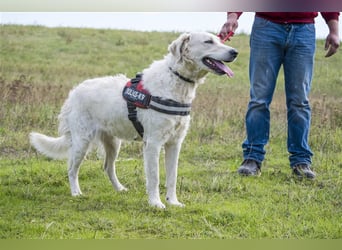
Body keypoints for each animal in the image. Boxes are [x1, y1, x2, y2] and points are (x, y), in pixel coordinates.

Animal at [30, 32, 238, 209]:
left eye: (220, 40)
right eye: (208, 41)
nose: (235, 52)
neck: (176, 81)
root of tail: (74, 92)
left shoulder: (174, 143)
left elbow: (172, 177)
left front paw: (173, 202)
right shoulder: (153, 143)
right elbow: (154, 177)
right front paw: (155, 203)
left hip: (113, 143)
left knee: (107, 167)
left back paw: (119, 189)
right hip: (82, 142)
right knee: (72, 169)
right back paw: (76, 193)